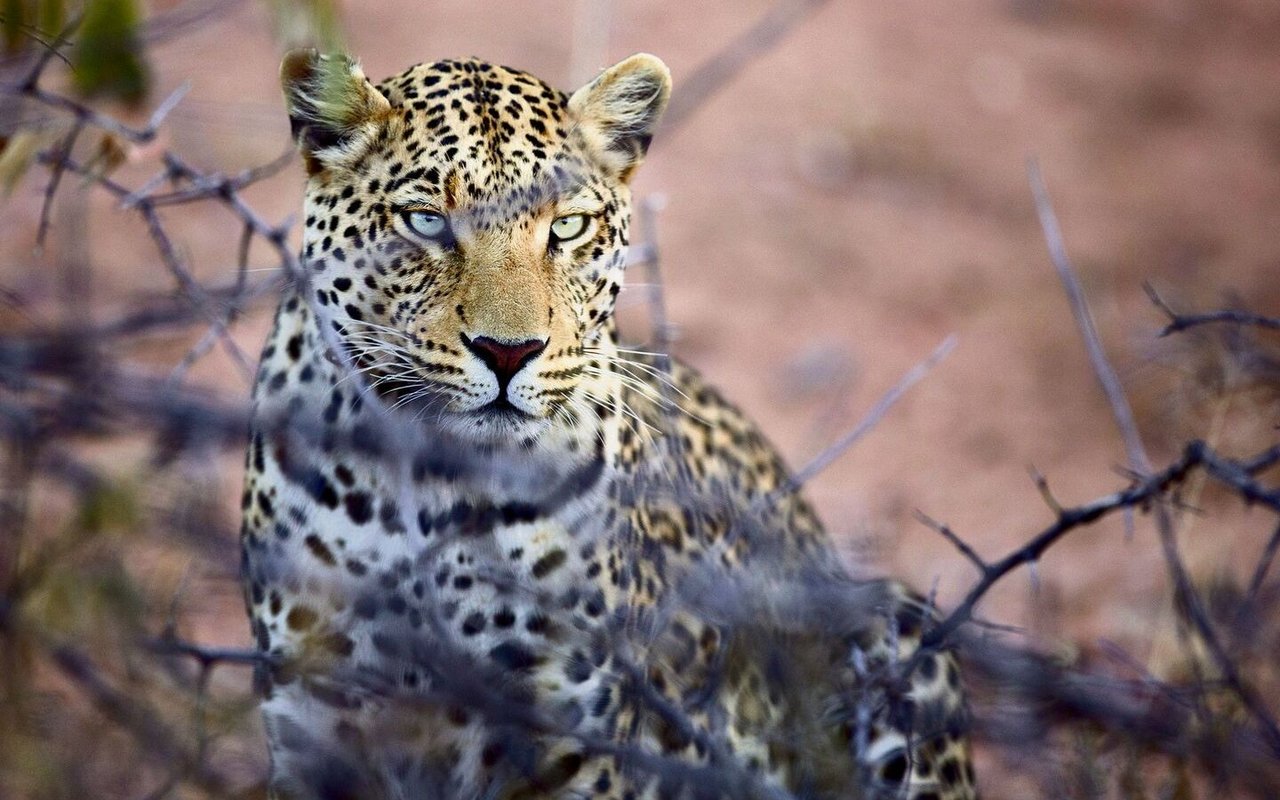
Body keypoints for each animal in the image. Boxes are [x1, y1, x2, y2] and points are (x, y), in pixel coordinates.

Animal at [240, 48, 979, 800]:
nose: (509, 352)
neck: (432, 482)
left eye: (567, 228)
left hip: (894, 623)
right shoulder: (313, 713)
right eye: (425, 222)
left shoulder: (572, 734)